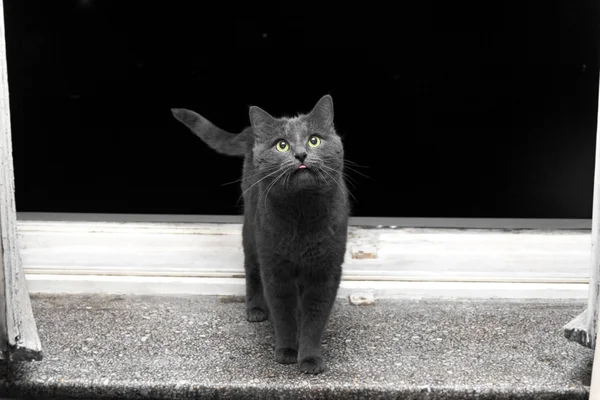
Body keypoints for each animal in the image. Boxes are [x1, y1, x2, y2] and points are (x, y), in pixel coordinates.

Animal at [171, 95, 350, 374]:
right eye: (282, 145)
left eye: (314, 140)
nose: (301, 153)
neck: (301, 213)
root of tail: (250, 132)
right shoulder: (275, 268)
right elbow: (283, 311)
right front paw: (287, 351)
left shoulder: (325, 270)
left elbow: (314, 317)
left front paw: (310, 359)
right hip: (251, 231)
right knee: (251, 270)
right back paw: (255, 309)